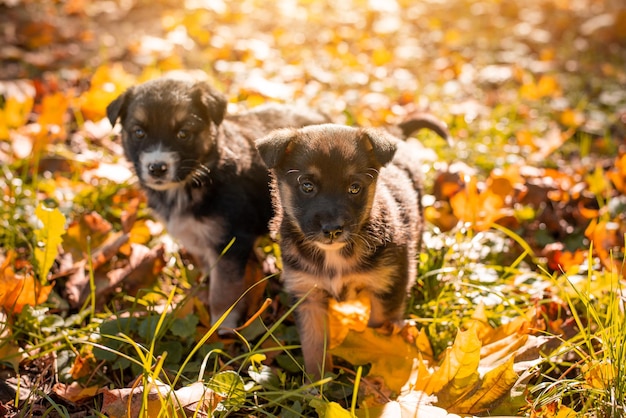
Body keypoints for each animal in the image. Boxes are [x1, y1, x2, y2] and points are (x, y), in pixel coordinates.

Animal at [106, 76, 332, 328]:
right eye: (138, 132)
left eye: (183, 133)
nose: (157, 168)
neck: (195, 180)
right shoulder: (198, 238)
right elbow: (211, 272)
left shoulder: (229, 240)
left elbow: (223, 288)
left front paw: (221, 325)